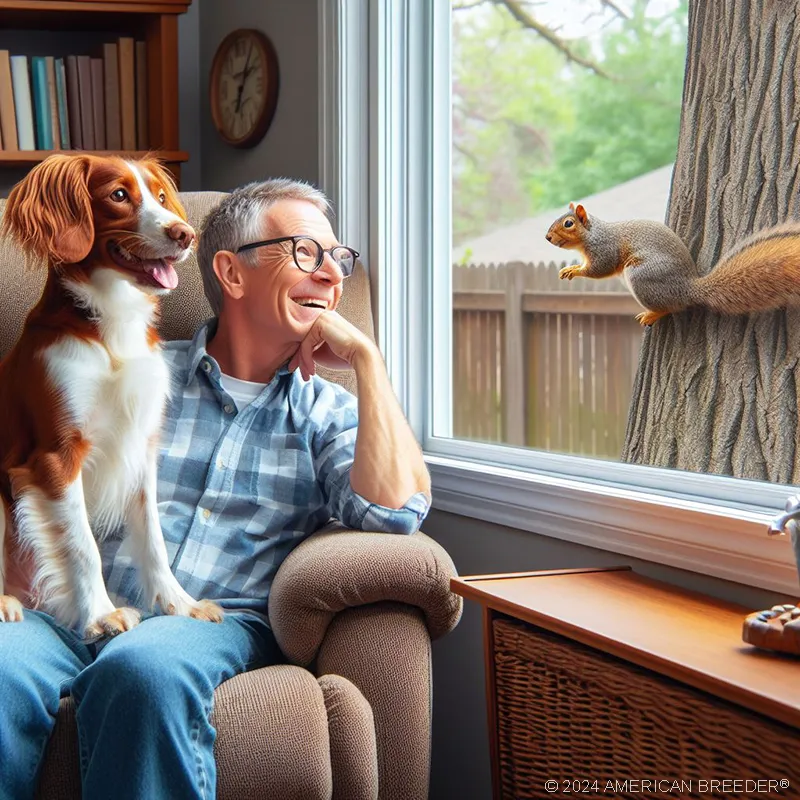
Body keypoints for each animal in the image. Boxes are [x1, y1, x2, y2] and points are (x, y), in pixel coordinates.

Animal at [0, 152, 222, 636]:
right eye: (119, 195)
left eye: (161, 197)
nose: (184, 234)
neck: (112, 325)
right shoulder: (56, 455)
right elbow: (82, 544)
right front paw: (100, 613)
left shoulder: (140, 447)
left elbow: (154, 538)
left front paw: (179, 603)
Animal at [544, 203, 800, 328]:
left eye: (568, 223)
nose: (547, 237)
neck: (592, 234)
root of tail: (687, 288)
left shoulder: (605, 248)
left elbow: (600, 269)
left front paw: (573, 270)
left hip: (640, 276)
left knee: (671, 307)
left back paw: (652, 314)